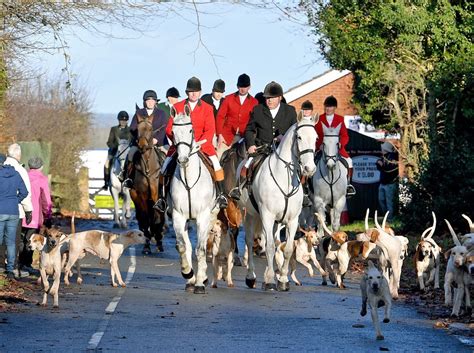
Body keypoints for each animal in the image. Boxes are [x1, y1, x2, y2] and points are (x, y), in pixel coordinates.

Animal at [130, 113, 167, 253]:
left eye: (150, 129)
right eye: (137, 129)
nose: (142, 145)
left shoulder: (156, 195)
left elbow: (156, 217)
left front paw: (158, 237)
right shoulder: (141, 196)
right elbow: (145, 218)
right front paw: (147, 244)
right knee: (143, 217)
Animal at [168, 107, 217, 294]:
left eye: (191, 130)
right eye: (173, 132)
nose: (182, 160)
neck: (188, 179)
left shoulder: (203, 217)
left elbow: (201, 249)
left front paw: (200, 283)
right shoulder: (178, 216)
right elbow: (182, 246)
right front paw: (188, 273)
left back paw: (202, 278)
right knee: (187, 246)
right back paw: (191, 279)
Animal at [237, 111, 318, 290]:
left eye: (316, 137)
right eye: (299, 137)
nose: (309, 168)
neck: (284, 178)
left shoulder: (292, 220)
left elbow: (286, 249)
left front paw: (282, 279)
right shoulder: (267, 216)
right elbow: (269, 248)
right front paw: (270, 281)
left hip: (274, 222)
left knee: (272, 241)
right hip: (249, 214)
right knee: (250, 241)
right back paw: (251, 277)